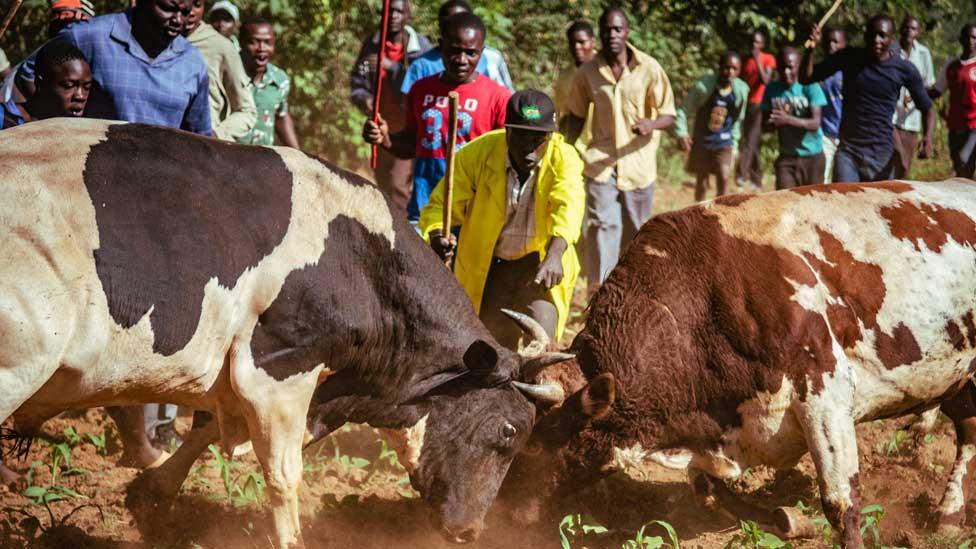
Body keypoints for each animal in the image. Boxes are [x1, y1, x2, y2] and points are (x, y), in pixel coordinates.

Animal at [0, 117, 568, 544]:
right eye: (507, 431)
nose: (470, 531)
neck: (363, 262)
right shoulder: (279, 371)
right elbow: (282, 474)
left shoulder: (246, 372)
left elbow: (206, 429)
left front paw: (154, 490)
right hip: (17, 368)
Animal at [500, 181, 976, 548]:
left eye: (536, 443)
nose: (503, 512)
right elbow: (712, 491)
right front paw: (788, 519)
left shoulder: (825, 395)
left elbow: (842, 503)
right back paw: (950, 515)